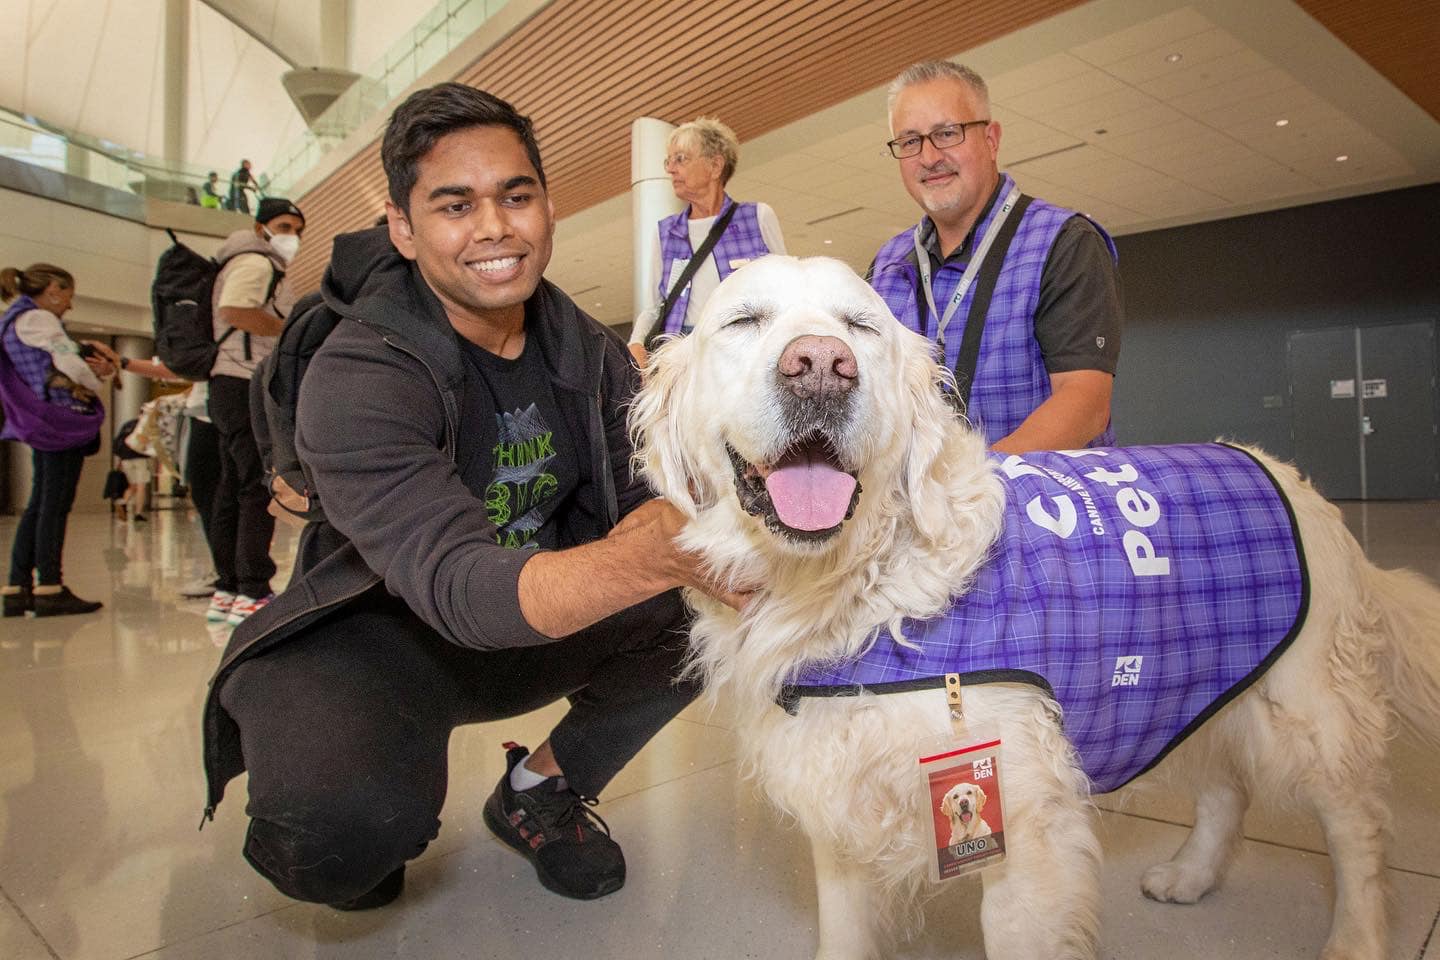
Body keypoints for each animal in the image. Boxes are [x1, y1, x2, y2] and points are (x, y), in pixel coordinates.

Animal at [633, 257, 1440, 960]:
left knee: (1359, 832)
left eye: (859, 326)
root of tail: (1288, 476)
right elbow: (843, 933)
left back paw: (1356, 938)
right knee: (1225, 788)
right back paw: (1190, 874)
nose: (822, 366)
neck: (859, 589)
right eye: (744, 320)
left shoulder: (1024, 825)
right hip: (1188, 680)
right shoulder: (840, 805)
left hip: (1312, 716)